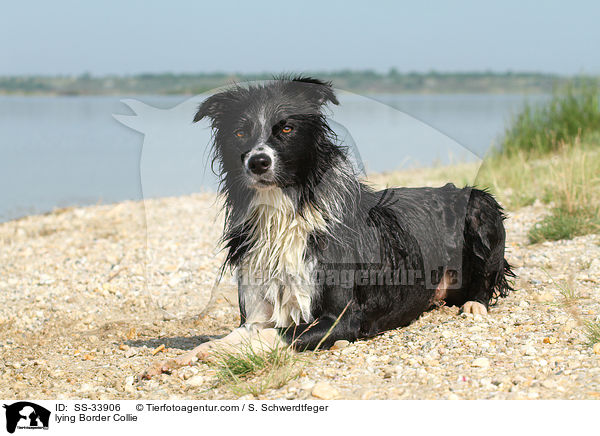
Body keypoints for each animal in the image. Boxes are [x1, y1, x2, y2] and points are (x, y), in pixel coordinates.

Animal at [144, 76, 510, 374]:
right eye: (240, 132)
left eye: (286, 128)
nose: (258, 162)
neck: (285, 212)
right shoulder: (258, 306)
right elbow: (237, 334)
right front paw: (193, 353)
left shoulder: (343, 319)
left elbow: (276, 335)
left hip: (480, 205)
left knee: (488, 275)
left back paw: (475, 304)